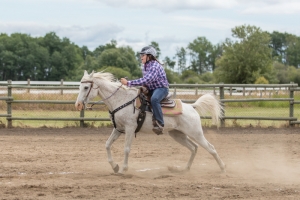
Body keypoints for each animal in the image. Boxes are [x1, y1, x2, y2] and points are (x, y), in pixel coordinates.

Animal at [75, 71, 225, 173]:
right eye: (79, 87)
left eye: (86, 88)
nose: (78, 105)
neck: (121, 100)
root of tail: (192, 107)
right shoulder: (118, 129)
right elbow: (107, 145)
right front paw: (115, 166)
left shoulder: (130, 128)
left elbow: (126, 149)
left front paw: (123, 169)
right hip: (177, 134)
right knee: (194, 148)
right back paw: (185, 169)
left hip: (196, 133)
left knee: (210, 148)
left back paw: (222, 168)